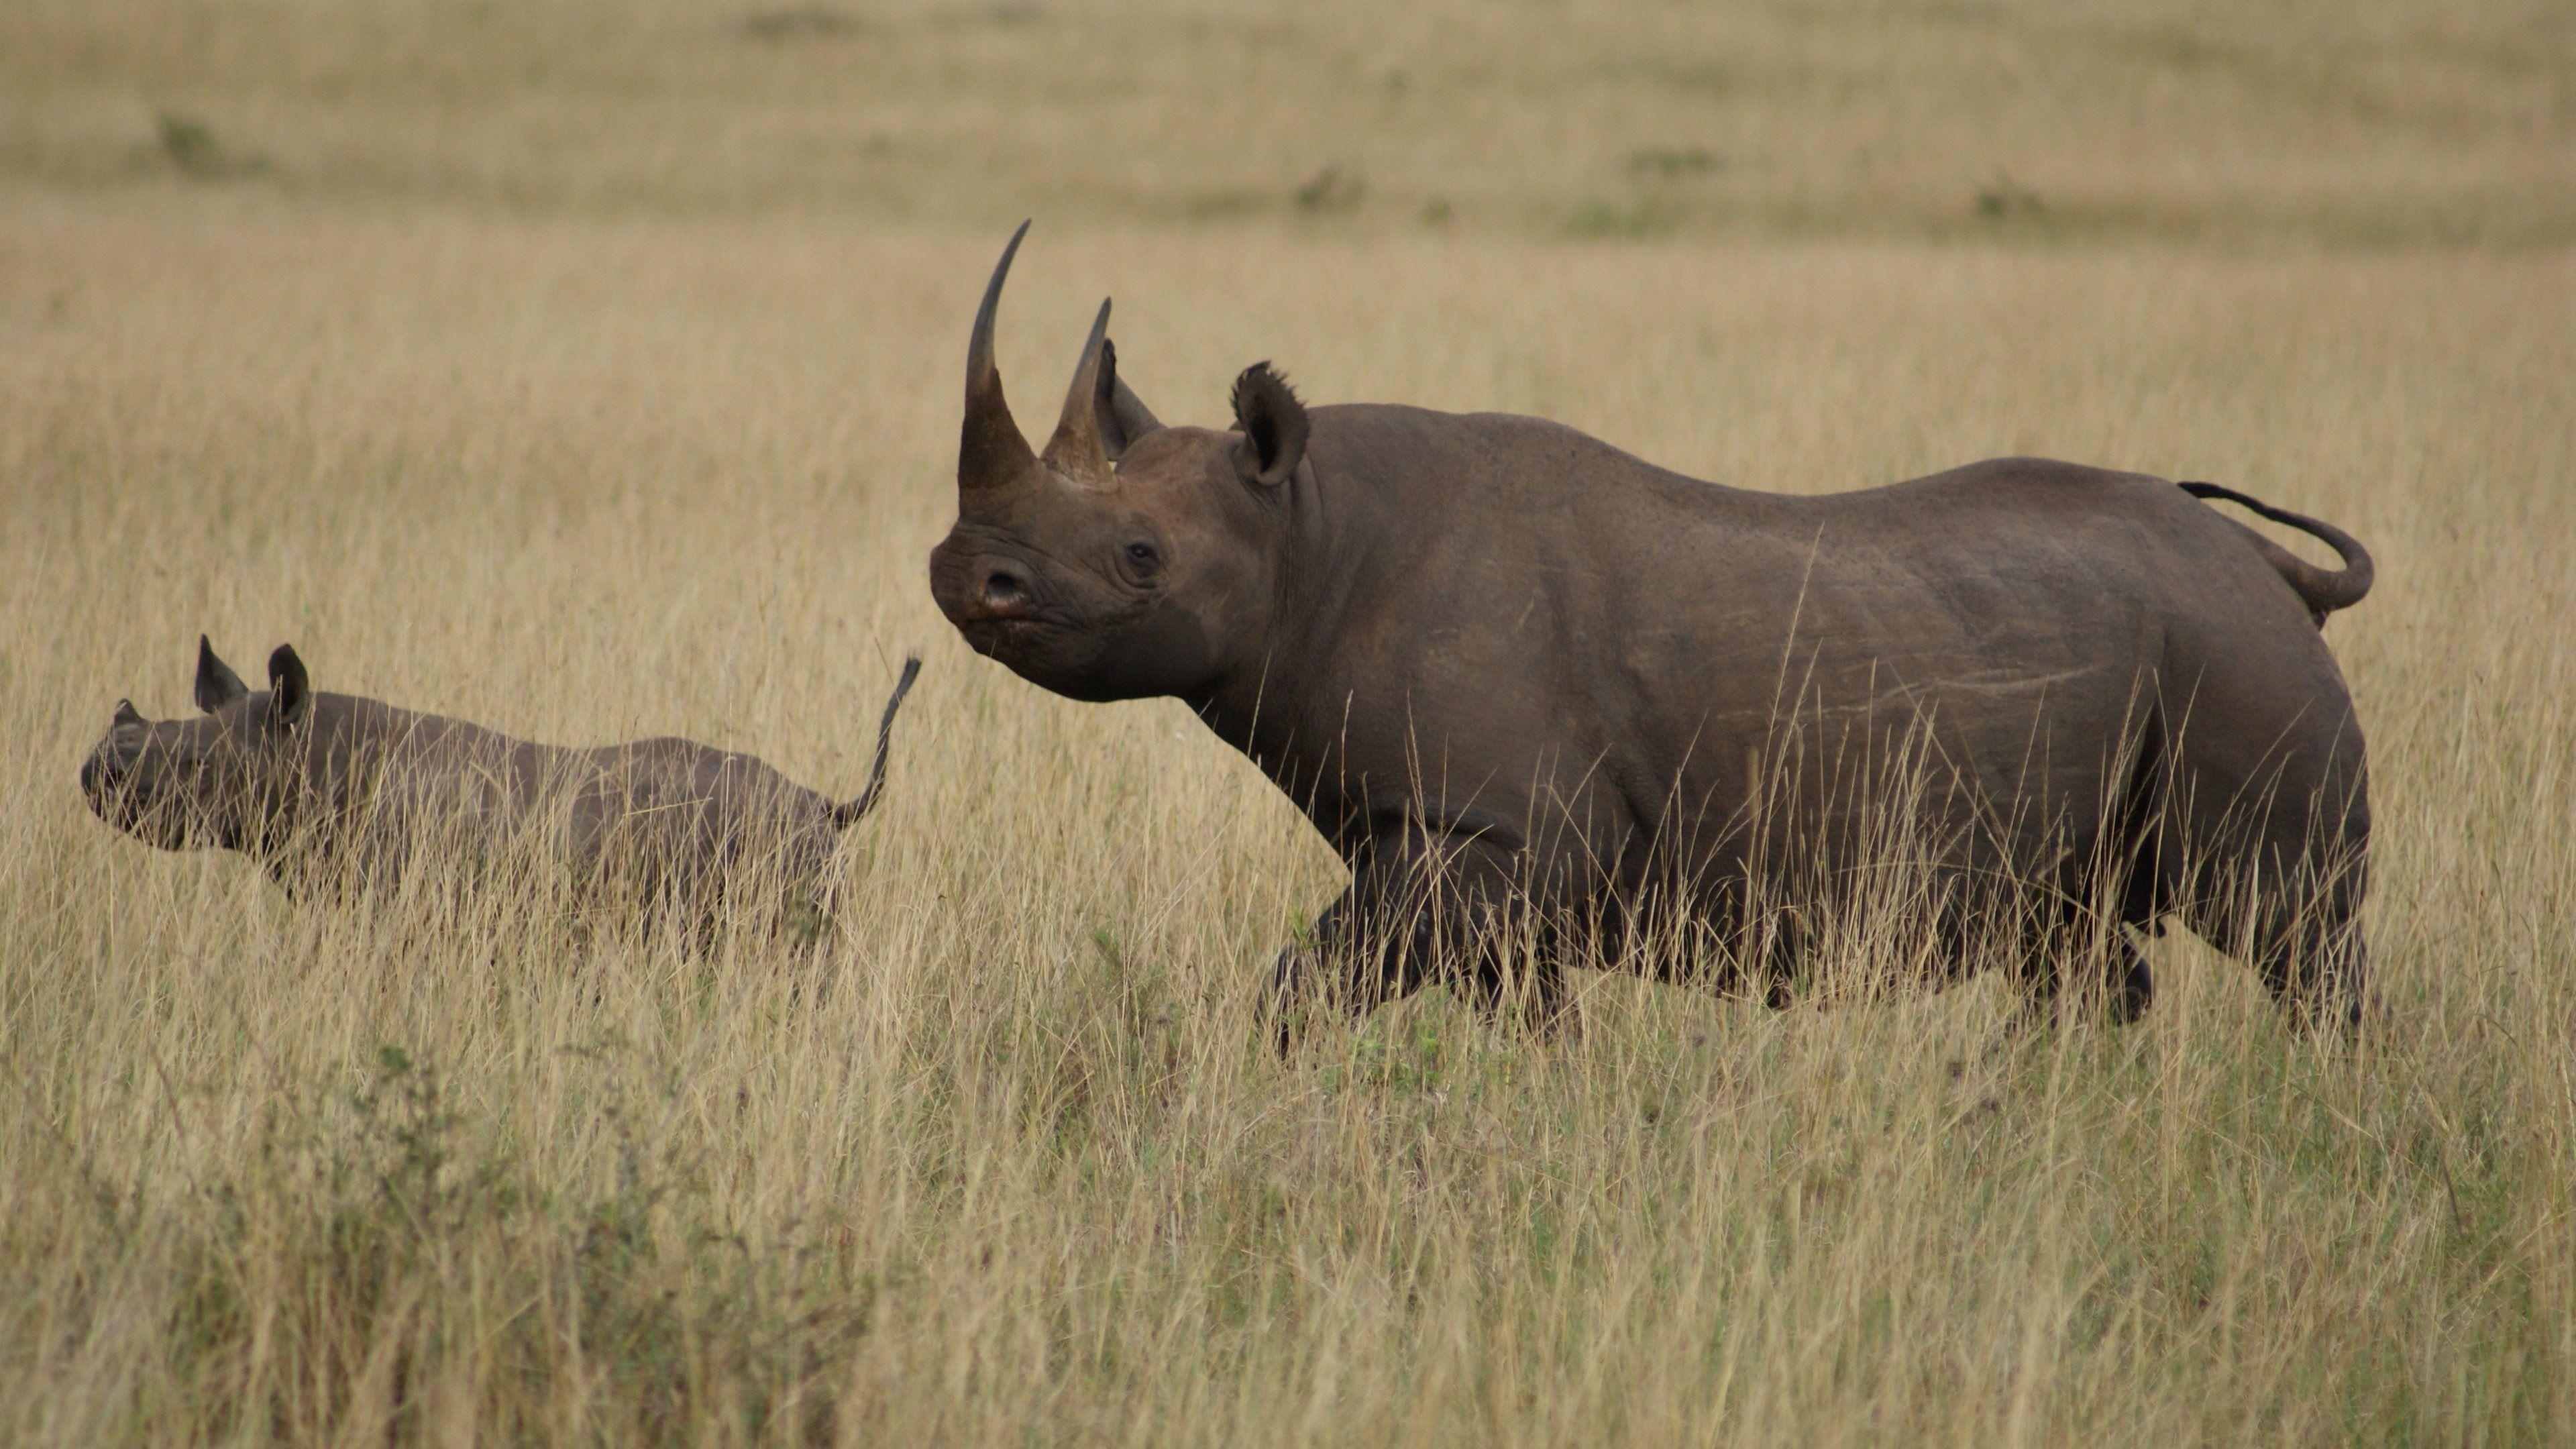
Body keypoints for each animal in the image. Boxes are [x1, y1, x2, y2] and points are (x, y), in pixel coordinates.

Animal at [922, 225, 2369, 1031]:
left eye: (1140, 559)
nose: (962, 576)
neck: (1307, 534)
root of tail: (2276, 573)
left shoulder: (1493, 838)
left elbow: (1306, 988)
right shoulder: (1468, 848)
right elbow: (1525, 1025)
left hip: (2235, 658)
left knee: (2291, 934)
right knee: (2075, 950)